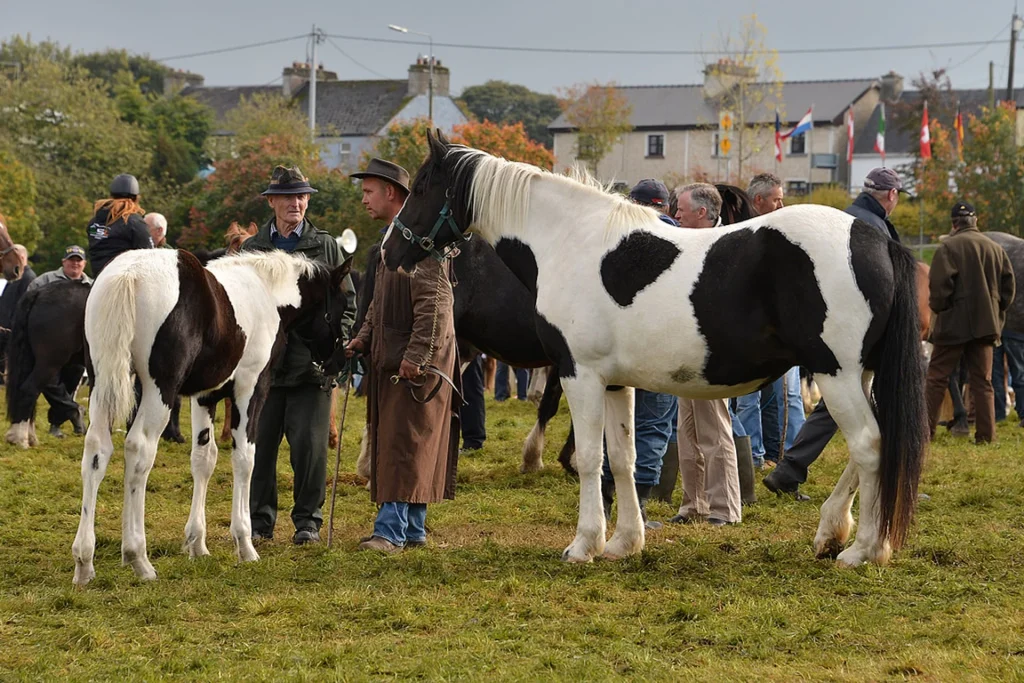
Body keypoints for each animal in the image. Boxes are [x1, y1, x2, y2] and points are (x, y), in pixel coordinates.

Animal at [71, 249, 352, 585]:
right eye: (342, 305)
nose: (339, 363)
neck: (266, 293)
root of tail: (131, 273)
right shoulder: (251, 386)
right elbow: (245, 458)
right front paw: (244, 545)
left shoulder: (204, 396)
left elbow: (203, 459)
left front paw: (197, 544)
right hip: (159, 390)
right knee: (139, 450)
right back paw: (138, 558)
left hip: (102, 383)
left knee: (97, 451)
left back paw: (85, 562)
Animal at [381, 131, 927, 567]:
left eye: (424, 187)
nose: (390, 250)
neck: (568, 240)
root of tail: (874, 240)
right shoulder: (613, 383)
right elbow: (622, 459)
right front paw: (624, 542)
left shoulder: (578, 374)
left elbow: (589, 459)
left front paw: (583, 545)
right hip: (856, 375)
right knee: (873, 446)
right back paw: (835, 534)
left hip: (835, 373)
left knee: (869, 446)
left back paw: (863, 550)